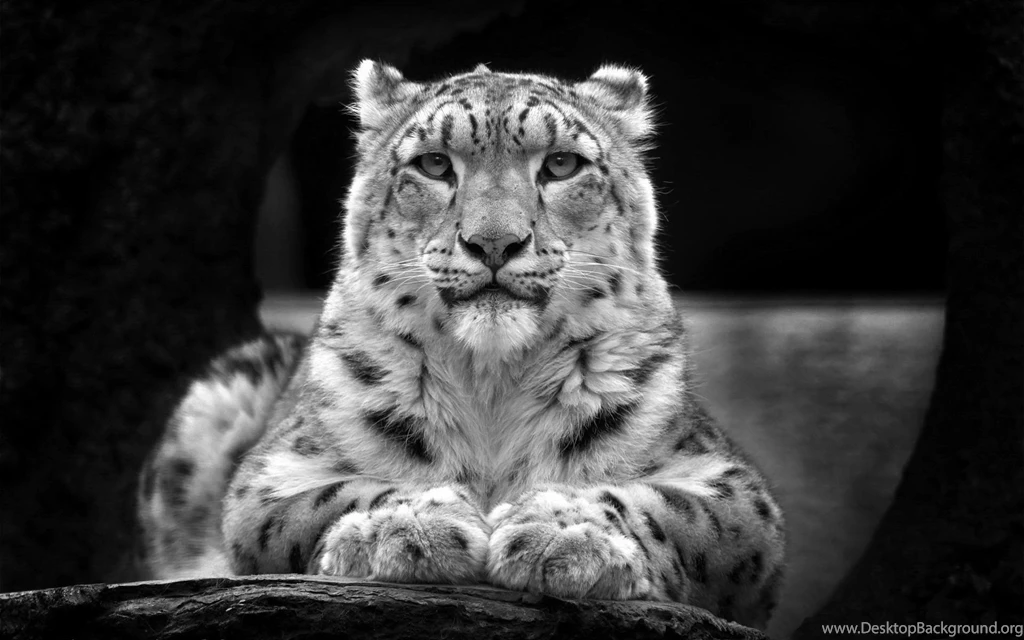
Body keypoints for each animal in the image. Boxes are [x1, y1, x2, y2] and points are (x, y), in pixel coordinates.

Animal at [137, 60, 786, 629]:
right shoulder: (272, 474)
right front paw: (407, 527)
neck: (493, 384)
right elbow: (333, 495)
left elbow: (667, 507)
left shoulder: (732, 487)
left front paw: (563, 533)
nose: (494, 242)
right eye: (433, 164)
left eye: (561, 164)